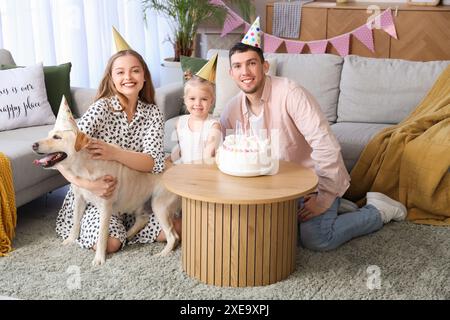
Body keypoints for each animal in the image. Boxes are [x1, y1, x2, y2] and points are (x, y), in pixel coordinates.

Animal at [32, 97, 180, 264]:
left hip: (159, 205)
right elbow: (75, 223)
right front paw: (70, 240)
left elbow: (102, 236)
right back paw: (128, 235)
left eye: (57, 137)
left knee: (173, 236)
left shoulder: (105, 207)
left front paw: (99, 259)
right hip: (140, 203)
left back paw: (163, 253)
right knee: (143, 219)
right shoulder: (79, 199)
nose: (33, 145)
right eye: (49, 134)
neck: (83, 166)